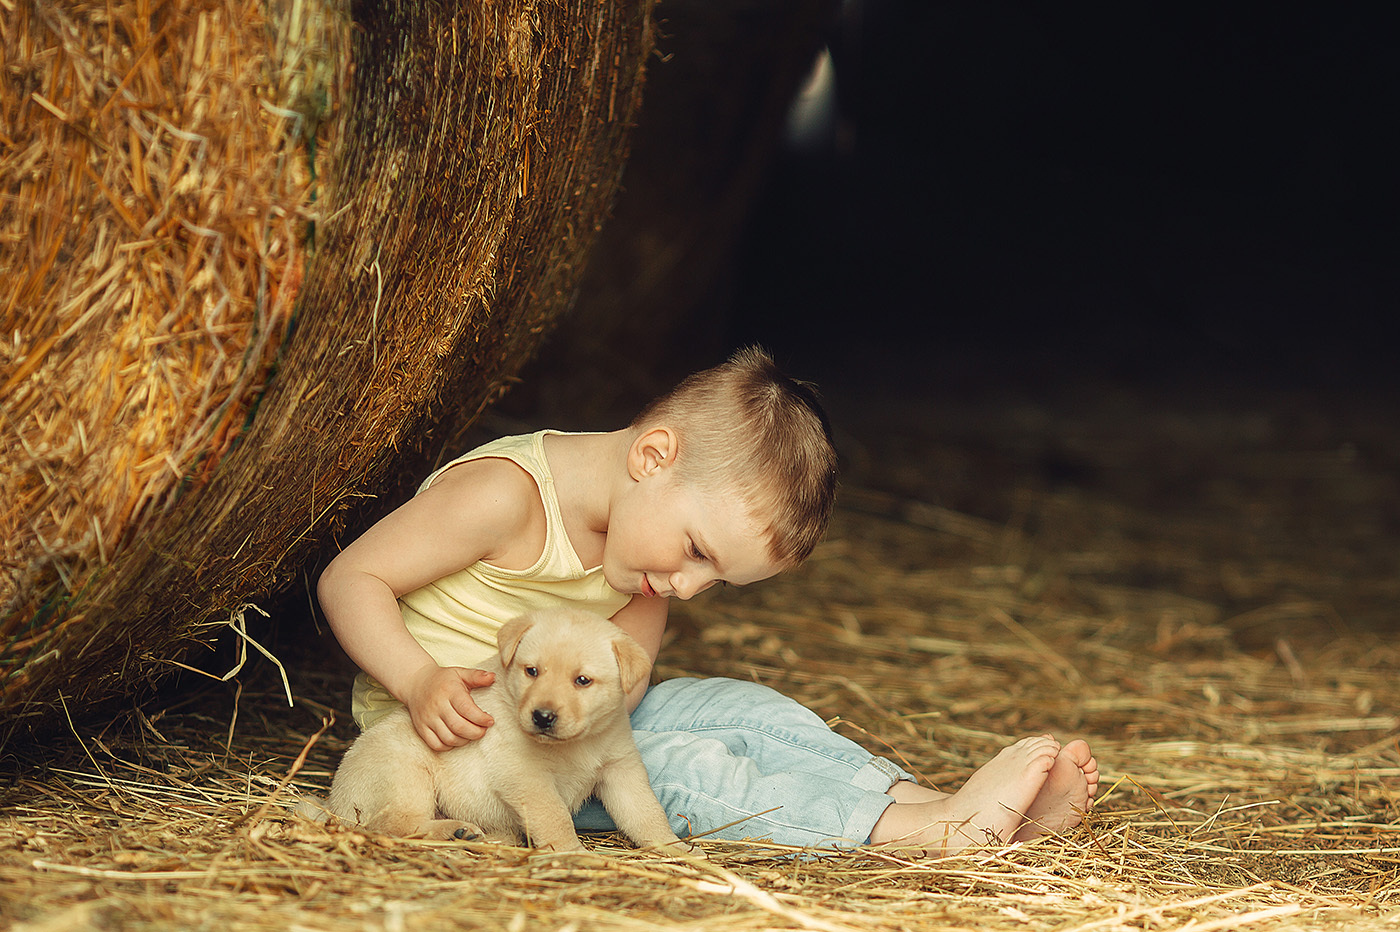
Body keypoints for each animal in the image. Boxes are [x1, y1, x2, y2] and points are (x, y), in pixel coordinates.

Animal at [302, 607, 694, 850]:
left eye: (582, 681)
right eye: (531, 671)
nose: (542, 717)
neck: (573, 745)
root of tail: (333, 800)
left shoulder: (621, 770)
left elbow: (647, 815)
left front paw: (679, 851)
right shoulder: (525, 776)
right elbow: (555, 818)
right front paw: (572, 853)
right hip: (404, 774)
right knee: (392, 825)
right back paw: (454, 832)